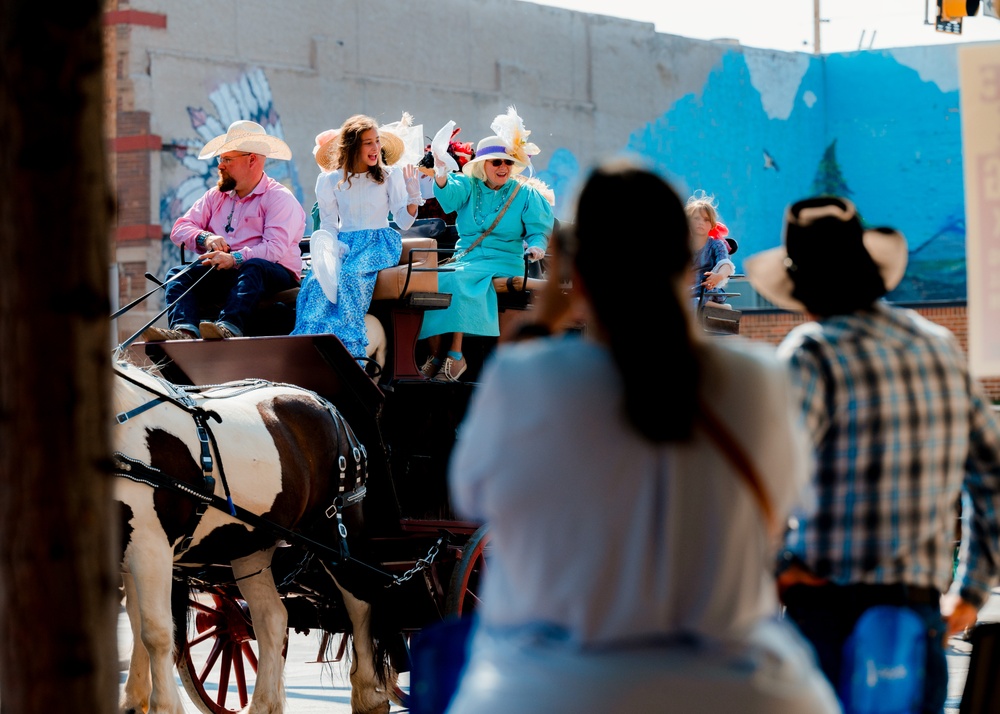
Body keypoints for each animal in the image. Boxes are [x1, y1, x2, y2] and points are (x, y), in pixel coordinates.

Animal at [112, 358, 398, 712]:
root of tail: (327, 406)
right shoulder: (128, 553)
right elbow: (137, 626)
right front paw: (133, 701)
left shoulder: (151, 547)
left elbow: (156, 632)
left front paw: (163, 706)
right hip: (251, 547)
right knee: (271, 618)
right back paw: (264, 703)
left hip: (336, 533)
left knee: (360, 603)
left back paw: (370, 694)